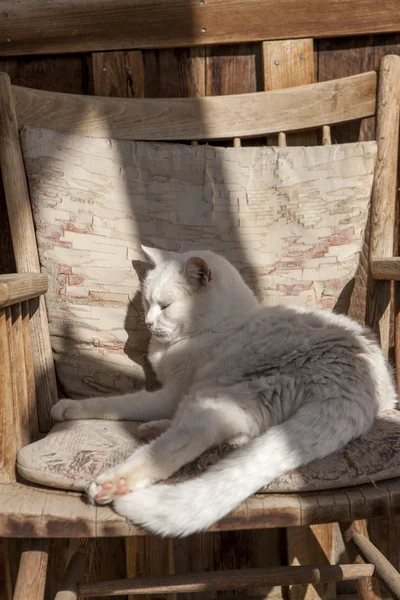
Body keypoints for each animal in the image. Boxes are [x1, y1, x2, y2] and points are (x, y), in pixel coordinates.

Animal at [52, 246, 396, 536]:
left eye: (165, 306)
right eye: (147, 303)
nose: (148, 323)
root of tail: (351, 381)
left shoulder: (170, 394)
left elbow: (116, 403)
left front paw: (68, 407)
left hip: (215, 395)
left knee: (188, 439)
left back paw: (115, 482)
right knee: (236, 434)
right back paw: (153, 429)